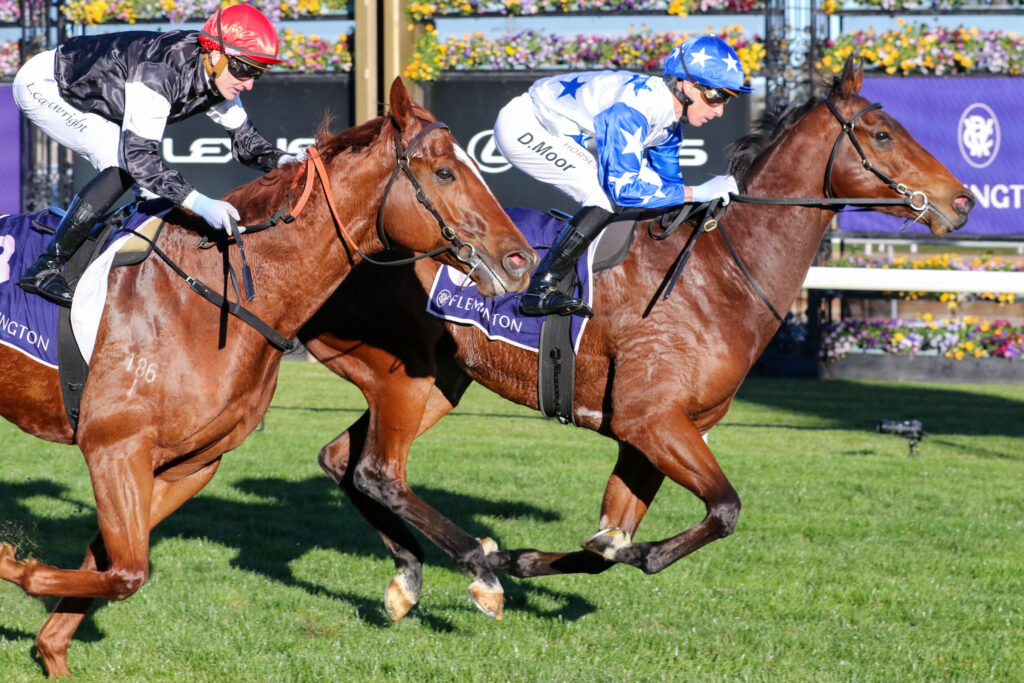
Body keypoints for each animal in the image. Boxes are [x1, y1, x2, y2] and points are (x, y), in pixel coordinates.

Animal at [0, 77, 536, 678]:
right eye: (444, 172)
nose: (522, 261)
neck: (208, 294)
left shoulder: (189, 464)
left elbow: (112, 567)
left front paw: (51, 650)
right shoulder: (115, 447)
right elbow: (126, 570)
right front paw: (13, 566)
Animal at [298, 59, 975, 621]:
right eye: (883, 135)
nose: (962, 199)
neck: (720, 273)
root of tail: (350, 232)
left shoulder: (655, 435)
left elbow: (608, 542)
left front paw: (530, 559)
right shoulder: (652, 421)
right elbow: (721, 511)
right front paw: (548, 558)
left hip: (435, 379)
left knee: (341, 460)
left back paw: (409, 576)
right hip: (401, 376)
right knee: (378, 471)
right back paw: (470, 567)